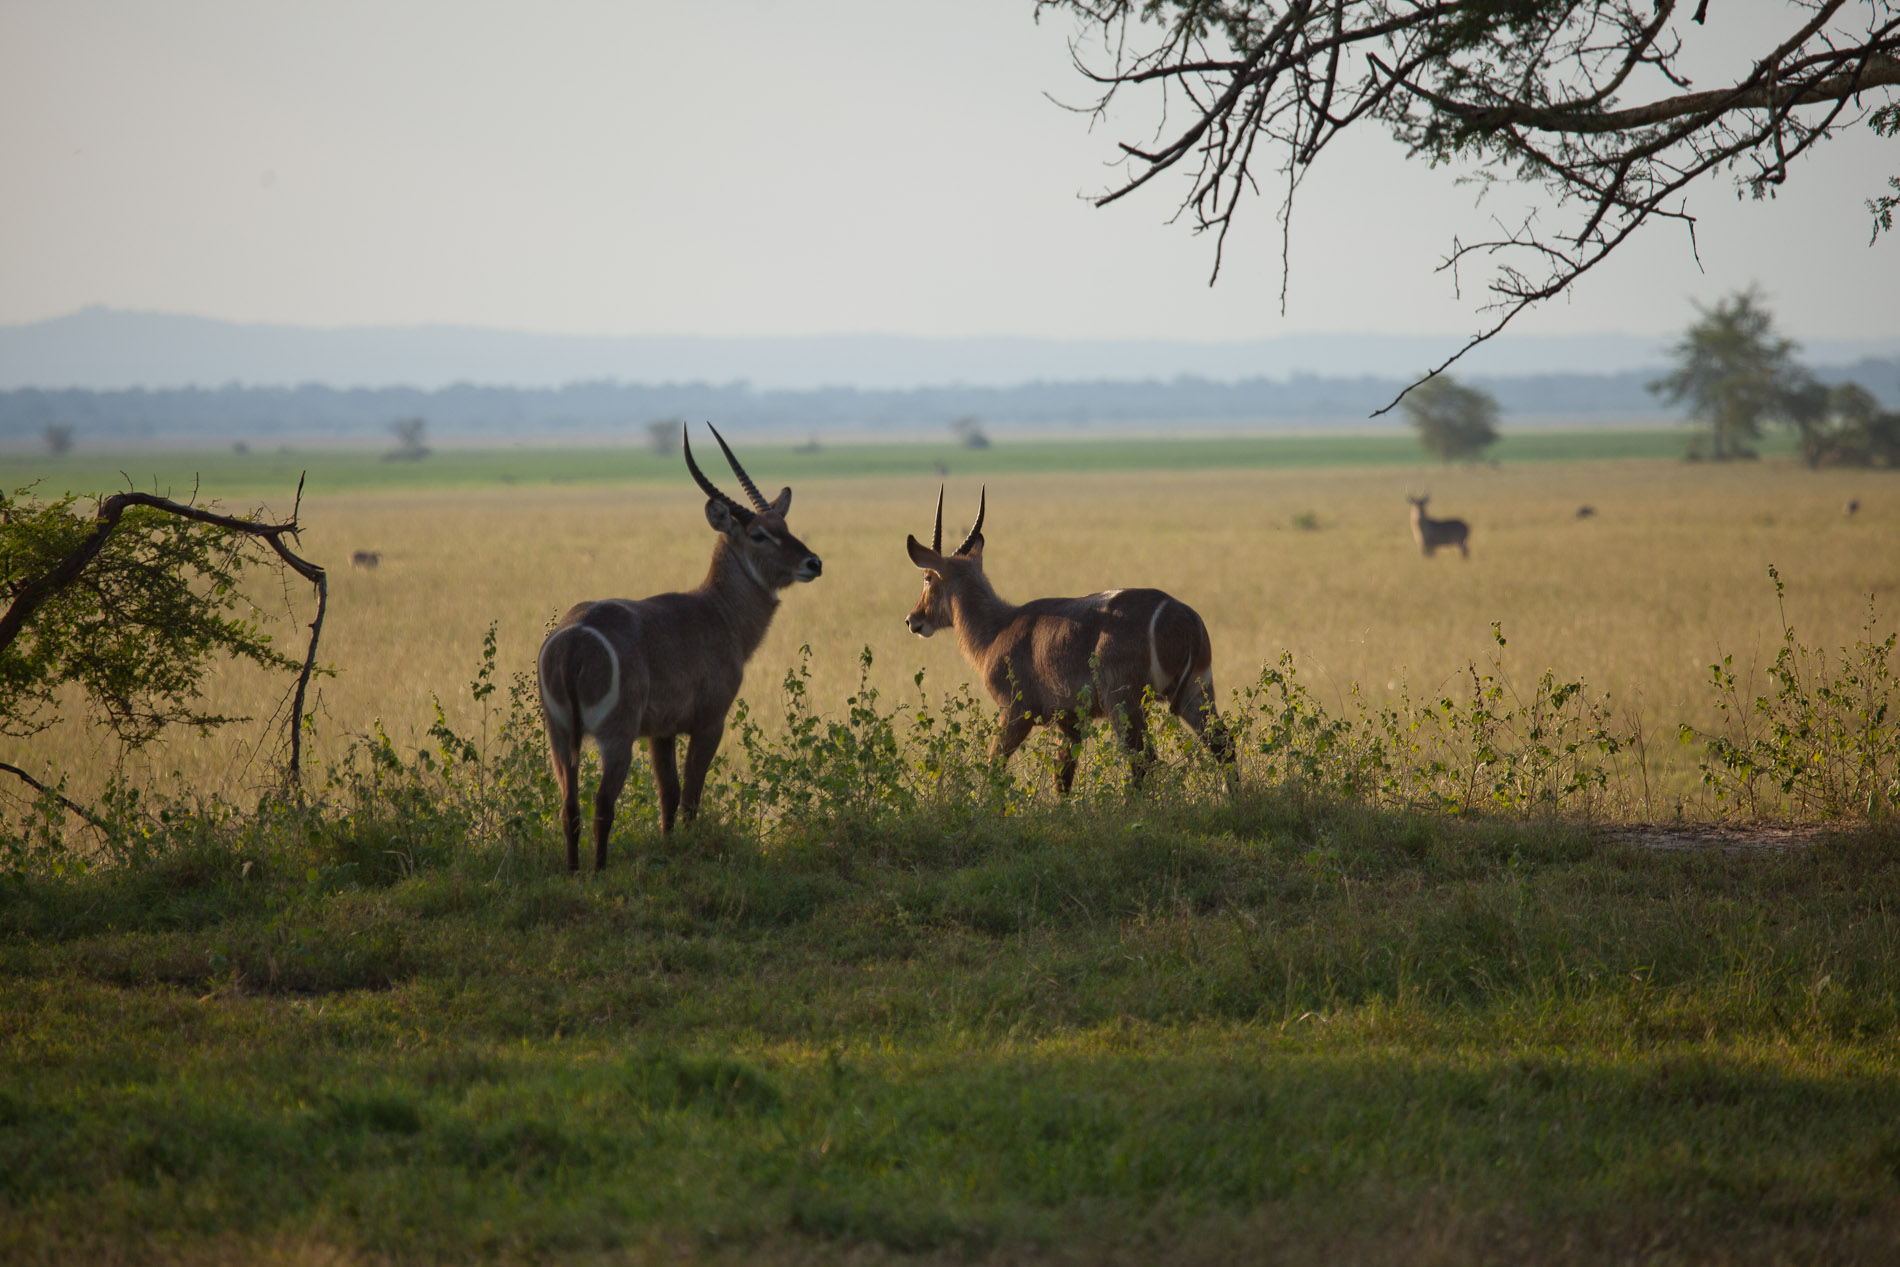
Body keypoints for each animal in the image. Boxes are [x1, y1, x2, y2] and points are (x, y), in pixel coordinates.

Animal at [539, 429, 828, 873]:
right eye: (759, 534)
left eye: (784, 524)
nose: (813, 563)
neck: (718, 611)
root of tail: (573, 642)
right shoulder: (709, 721)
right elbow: (692, 793)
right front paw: (691, 848)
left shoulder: (661, 731)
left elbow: (668, 795)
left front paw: (669, 846)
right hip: (615, 735)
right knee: (602, 803)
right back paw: (598, 872)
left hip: (558, 735)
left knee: (568, 804)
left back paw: (572, 873)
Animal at [900, 490, 1231, 794]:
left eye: (928, 577)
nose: (912, 619)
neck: (996, 630)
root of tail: (1183, 617)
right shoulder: (1069, 719)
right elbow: (1063, 777)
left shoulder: (1014, 712)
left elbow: (994, 766)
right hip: (1196, 690)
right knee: (1222, 745)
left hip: (1124, 700)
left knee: (1143, 759)